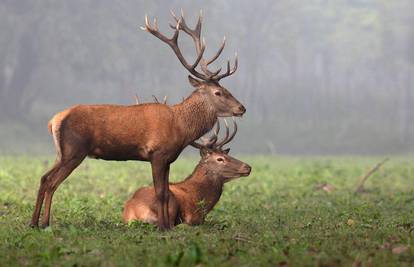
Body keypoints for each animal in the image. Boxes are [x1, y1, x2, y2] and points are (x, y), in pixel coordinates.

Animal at [123, 120, 251, 227]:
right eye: (220, 159)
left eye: (227, 155)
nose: (248, 167)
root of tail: (133, 211)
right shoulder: (193, 217)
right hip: (171, 203)